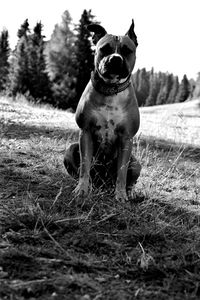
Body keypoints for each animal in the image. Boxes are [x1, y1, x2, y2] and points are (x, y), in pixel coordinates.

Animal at [64, 19, 141, 200]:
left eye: (127, 51)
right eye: (104, 48)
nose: (115, 59)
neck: (110, 90)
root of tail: (103, 183)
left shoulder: (126, 138)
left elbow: (122, 172)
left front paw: (120, 195)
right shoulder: (85, 132)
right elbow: (85, 166)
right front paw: (82, 189)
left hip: (136, 164)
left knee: (129, 179)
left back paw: (130, 192)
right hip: (70, 150)